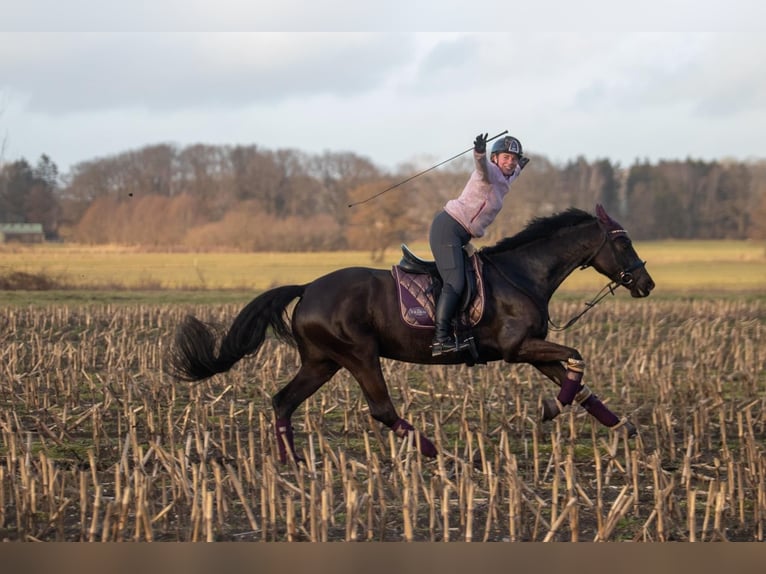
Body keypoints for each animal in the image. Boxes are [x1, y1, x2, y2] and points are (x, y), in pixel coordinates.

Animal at [168, 205, 656, 466]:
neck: (522, 274)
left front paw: (621, 426)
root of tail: (308, 288)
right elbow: (577, 356)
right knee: (382, 410)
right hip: (359, 355)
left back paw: (294, 462)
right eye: (623, 242)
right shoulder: (517, 349)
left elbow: (576, 377)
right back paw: (439, 453)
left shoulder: (532, 351)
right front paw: (553, 408)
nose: (646, 284)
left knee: (283, 401)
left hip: (322, 361)